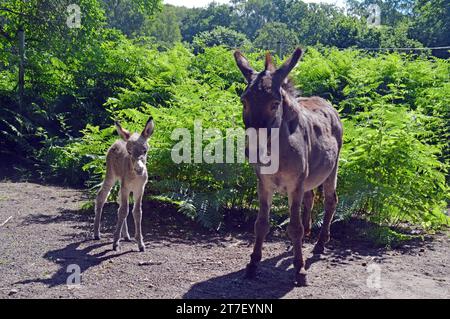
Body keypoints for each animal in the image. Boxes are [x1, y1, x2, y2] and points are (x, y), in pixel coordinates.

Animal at [93, 116, 155, 254]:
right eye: (129, 152)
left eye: (145, 151)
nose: (139, 169)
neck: (135, 177)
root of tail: (118, 140)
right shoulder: (126, 187)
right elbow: (124, 211)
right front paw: (115, 243)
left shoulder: (140, 189)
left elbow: (137, 212)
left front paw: (140, 244)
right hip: (111, 175)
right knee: (102, 196)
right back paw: (96, 234)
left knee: (119, 202)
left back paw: (126, 236)